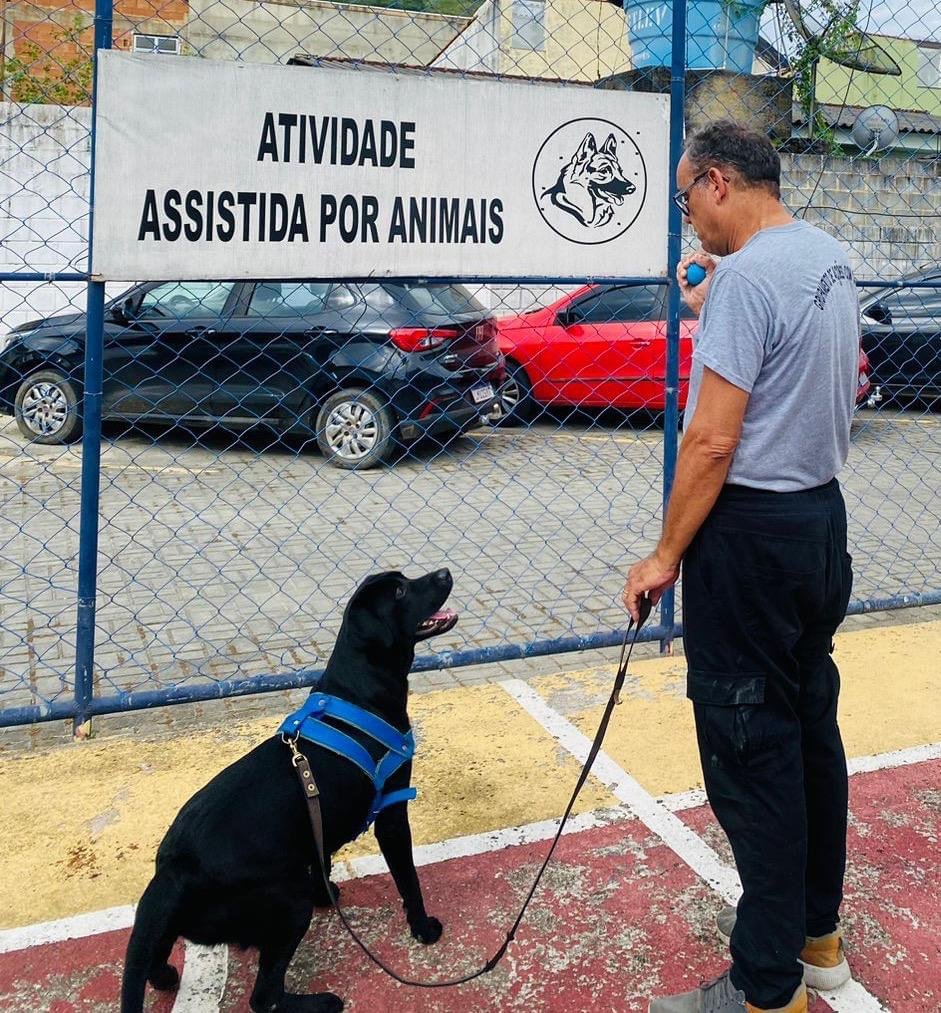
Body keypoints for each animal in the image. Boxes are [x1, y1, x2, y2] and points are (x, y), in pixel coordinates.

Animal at [119, 571, 457, 1013]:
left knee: (156, 962)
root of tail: (173, 870)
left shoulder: (318, 825)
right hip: (289, 904)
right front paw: (423, 927)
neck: (360, 688)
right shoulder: (392, 813)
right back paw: (320, 1002)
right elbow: (409, 880)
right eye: (400, 590)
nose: (444, 573)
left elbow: (322, 857)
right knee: (264, 997)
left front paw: (327, 893)